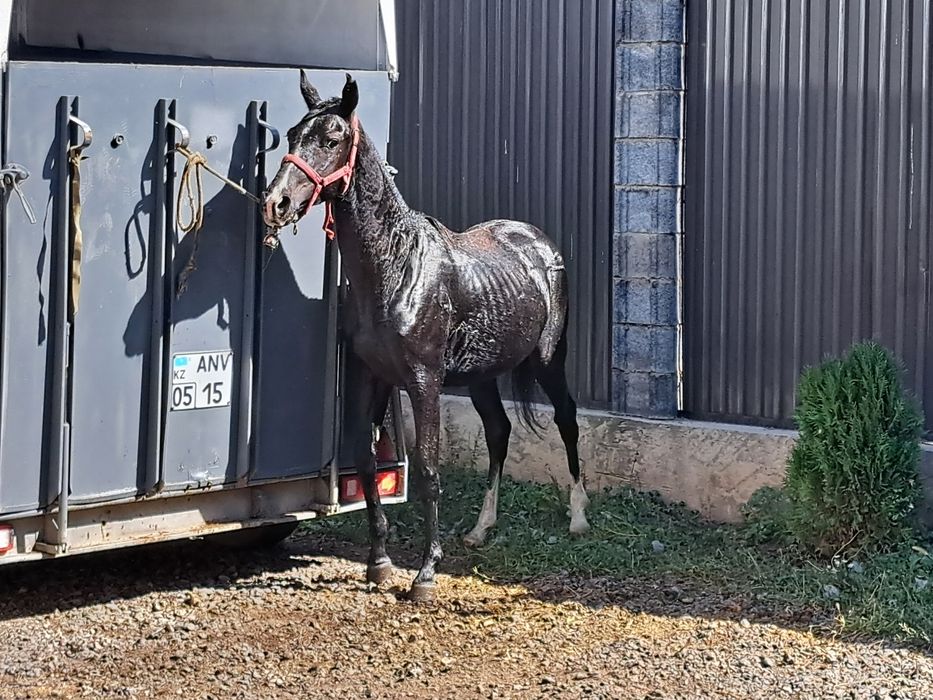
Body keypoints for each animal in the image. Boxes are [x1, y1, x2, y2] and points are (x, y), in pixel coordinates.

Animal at [261, 72, 589, 601]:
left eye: (332, 138)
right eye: (291, 135)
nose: (277, 203)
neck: (396, 268)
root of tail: (539, 242)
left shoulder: (423, 382)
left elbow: (430, 472)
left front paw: (426, 574)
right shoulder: (370, 378)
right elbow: (367, 463)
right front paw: (378, 563)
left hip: (547, 361)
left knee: (567, 419)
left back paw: (579, 516)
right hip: (482, 376)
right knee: (499, 432)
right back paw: (481, 528)